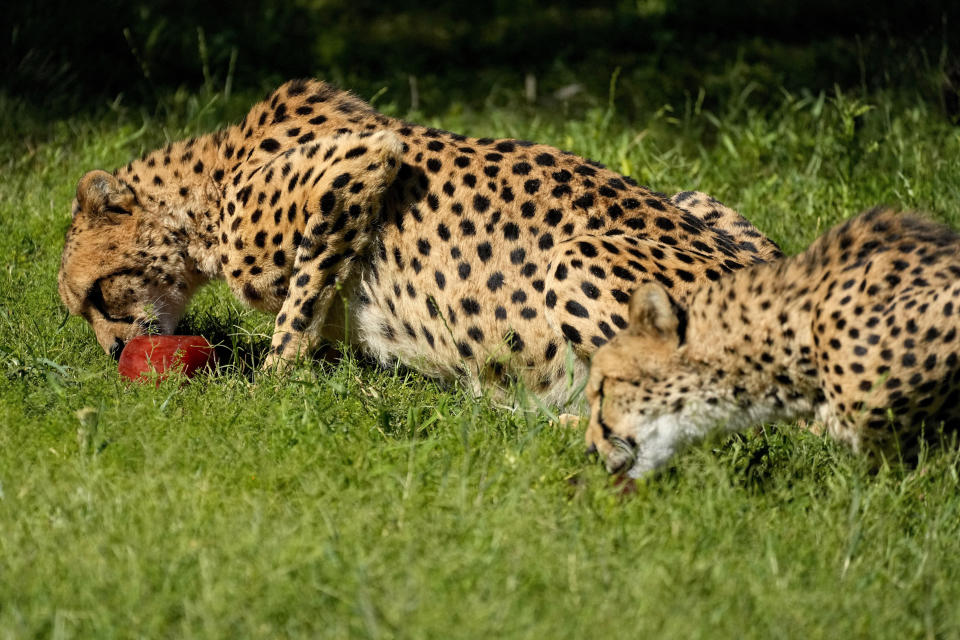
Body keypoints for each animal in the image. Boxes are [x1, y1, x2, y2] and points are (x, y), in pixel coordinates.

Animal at [56, 77, 780, 402]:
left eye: (100, 295)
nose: (115, 350)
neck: (205, 182)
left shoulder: (359, 163)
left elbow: (296, 309)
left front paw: (267, 390)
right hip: (697, 200)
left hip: (583, 255)